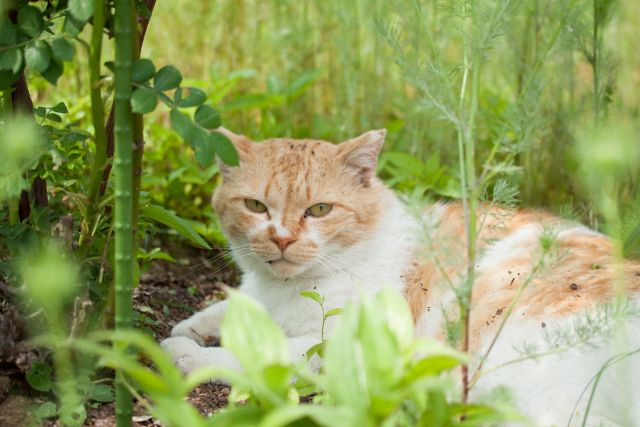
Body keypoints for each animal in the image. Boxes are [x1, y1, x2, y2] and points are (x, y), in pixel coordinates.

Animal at [161, 129, 640, 426]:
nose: (281, 239)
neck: (283, 288)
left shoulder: (338, 345)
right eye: (256, 206)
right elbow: (227, 308)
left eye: (320, 210)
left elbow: (265, 354)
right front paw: (192, 328)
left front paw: (188, 354)